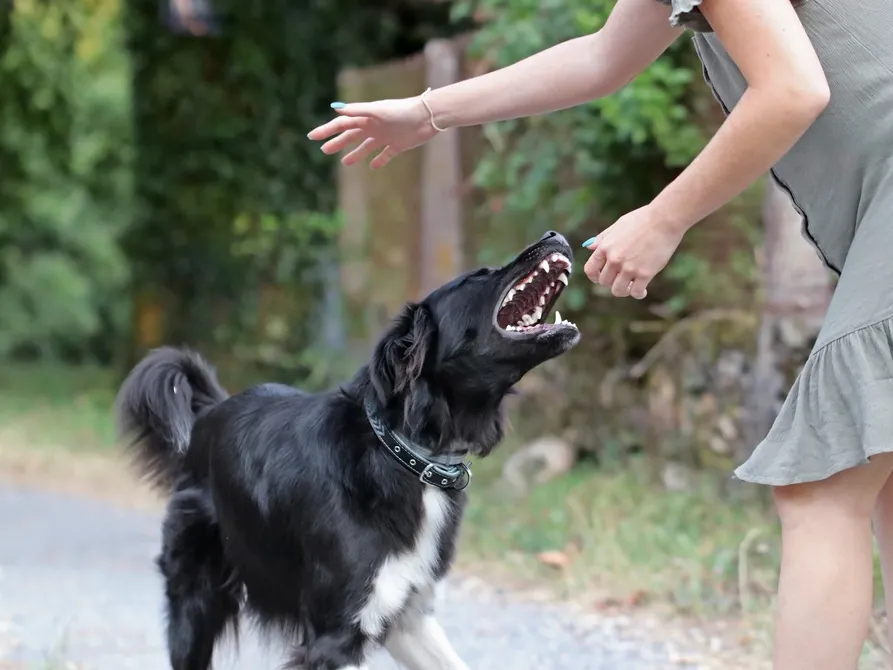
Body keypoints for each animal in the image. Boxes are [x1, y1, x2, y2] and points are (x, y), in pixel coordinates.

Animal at [116, 232, 580, 670]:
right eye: (477, 277)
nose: (555, 235)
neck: (404, 455)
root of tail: (209, 413)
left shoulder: (408, 616)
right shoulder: (335, 637)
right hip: (196, 603)